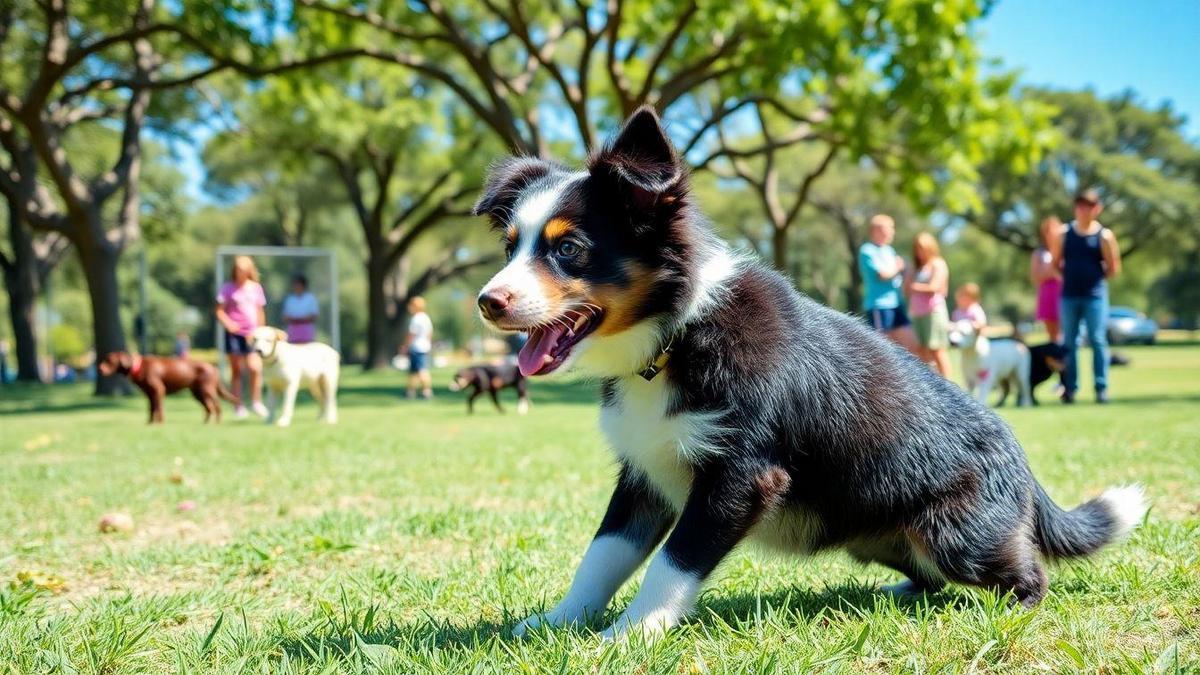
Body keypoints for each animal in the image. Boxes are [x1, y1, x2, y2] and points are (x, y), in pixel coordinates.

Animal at [99, 353, 240, 420]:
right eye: (106, 359)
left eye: (109, 360)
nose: (99, 369)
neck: (138, 366)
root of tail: (213, 367)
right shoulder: (150, 395)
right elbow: (151, 410)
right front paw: (149, 424)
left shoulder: (159, 391)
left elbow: (159, 409)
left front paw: (159, 424)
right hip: (198, 394)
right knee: (209, 408)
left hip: (206, 391)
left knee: (217, 406)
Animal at [468, 105, 1142, 634]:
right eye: (511, 247)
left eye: (568, 248)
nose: (487, 301)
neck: (675, 338)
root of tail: (1022, 464)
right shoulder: (645, 470)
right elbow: (602, 556)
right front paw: (554, 624)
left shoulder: (742, 473)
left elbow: (672, 564)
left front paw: (630, 636)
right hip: (881, 533)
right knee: (927, 574)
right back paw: (900, 594)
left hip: (957, 532)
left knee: (1022, 570)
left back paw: (1014, 606)